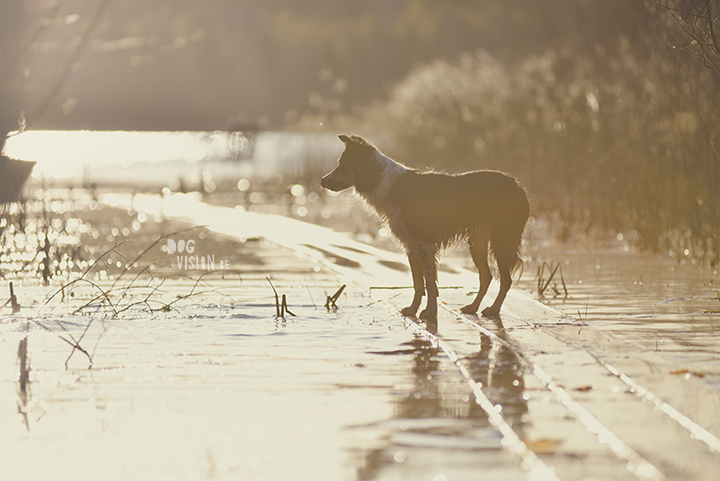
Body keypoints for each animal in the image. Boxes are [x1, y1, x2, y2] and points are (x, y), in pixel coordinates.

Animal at [320, 134, 528, 318]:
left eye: (342, 165)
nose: (322, 180)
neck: (381, 179)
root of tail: (519, 186)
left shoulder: (425, 244)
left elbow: (430, 283)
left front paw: (429, 313)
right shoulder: (411, 245)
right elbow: (418, 284)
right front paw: (413, 310)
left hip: (502, 239)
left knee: (505, 279)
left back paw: (493, 309)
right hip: (478, 241)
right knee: (486, 276)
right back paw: (473, 307)